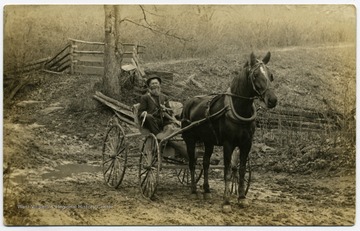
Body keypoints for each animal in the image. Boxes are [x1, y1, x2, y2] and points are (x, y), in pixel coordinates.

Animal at [181, 51, 278, 212]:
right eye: (255, 74)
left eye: (271, 75)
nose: (272, 100)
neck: (239, 109)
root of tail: (189, 102)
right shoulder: (228, 144)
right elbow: (227, 171)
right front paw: (226, 201)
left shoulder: (246, 144)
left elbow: (240, 169)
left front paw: (241, 198)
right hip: (190, 140)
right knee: (192, 163)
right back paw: (194, 191)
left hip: (208, 142)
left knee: (205, 163)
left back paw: (206, 191)